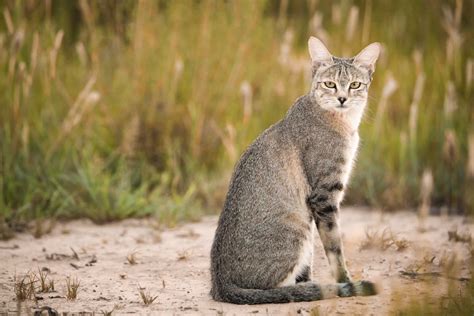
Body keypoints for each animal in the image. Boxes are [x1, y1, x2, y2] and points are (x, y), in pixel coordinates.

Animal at [211, 36, 382, 304]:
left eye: (355, 84)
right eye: (330, 84)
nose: (342, 98)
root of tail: (220, 284)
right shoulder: (325, 195)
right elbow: (335, 248)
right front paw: (344, 281)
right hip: (298, 228)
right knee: (274, 289)